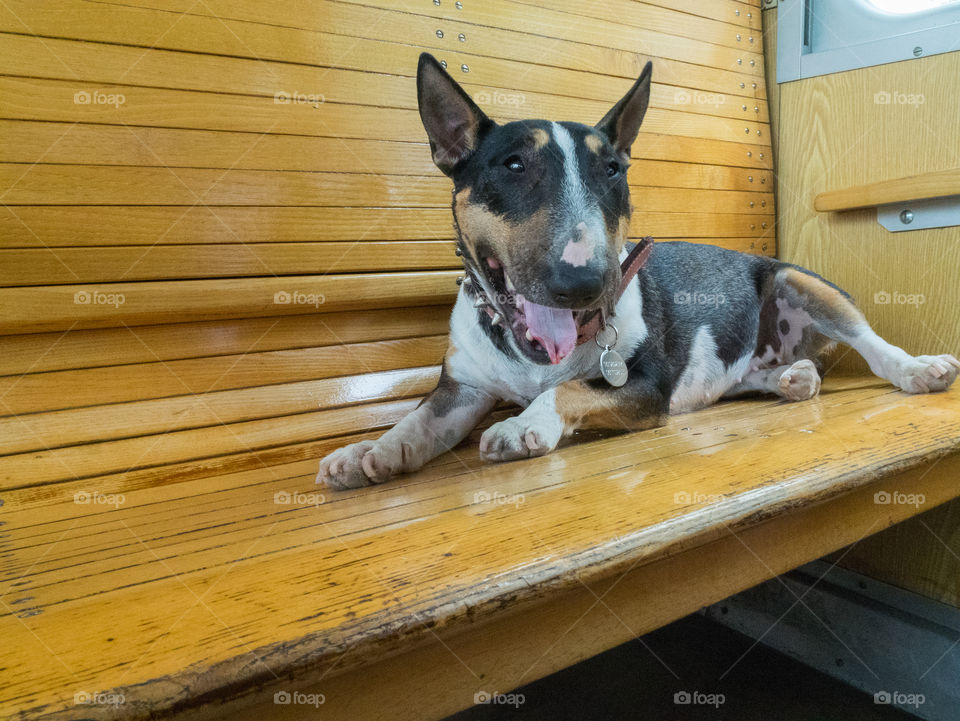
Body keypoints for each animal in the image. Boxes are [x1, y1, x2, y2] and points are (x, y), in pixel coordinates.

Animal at [316, 52, 952, 490]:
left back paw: (919, 369)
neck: (531, 355)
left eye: (614, 171)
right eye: (514, 164)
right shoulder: (463, 388)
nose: (586, 283)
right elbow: (420, 419)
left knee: (871, 342)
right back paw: (793, 378)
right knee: (762, 373)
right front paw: (368, 451)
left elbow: (571, 387)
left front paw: (522, 425)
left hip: (799, 282)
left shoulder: (647, 388)